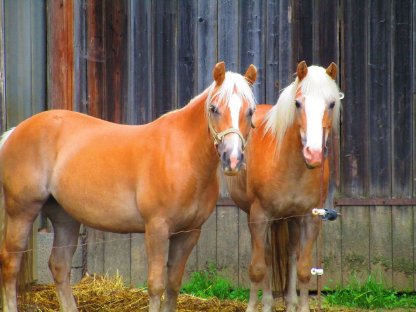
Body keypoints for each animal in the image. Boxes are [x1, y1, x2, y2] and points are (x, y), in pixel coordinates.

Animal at [0, 61, 256, 312]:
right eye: (214, 108)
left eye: (250, 111)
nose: (233, 159)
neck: (181, 155)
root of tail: (15, 131)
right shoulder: (157, 228)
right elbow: (156, 286)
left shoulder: (189, 233)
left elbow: (173, 285)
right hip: (22, 212)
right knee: (10, 264)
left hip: (65, 217)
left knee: (59, 266)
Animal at [224, 61, 342, 312]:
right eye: (298, 103)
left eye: (331, 103)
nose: (313, 154)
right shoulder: (260, 217)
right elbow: (258, 268)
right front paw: (253, 307)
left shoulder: (309, 219)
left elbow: (304, 270)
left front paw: (300, 305)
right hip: (258, 218)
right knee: (266, 256)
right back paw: (267, 302)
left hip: (290, 220)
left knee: (289, 254)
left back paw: (290, 301)